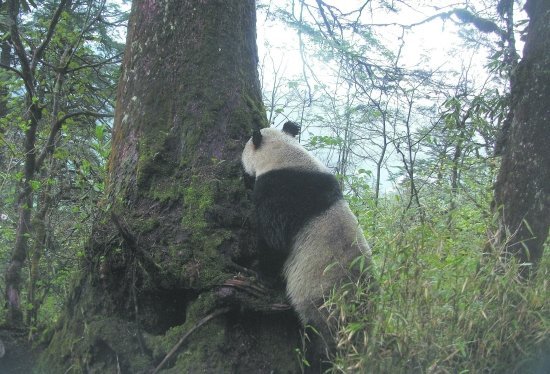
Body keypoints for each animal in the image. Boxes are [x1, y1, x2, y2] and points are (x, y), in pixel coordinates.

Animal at [240, 120, 370, 372]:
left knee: (322, 342)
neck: (285, 156)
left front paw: (258, 269)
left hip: (323, 304)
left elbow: (275, 241)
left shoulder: (281, 194)